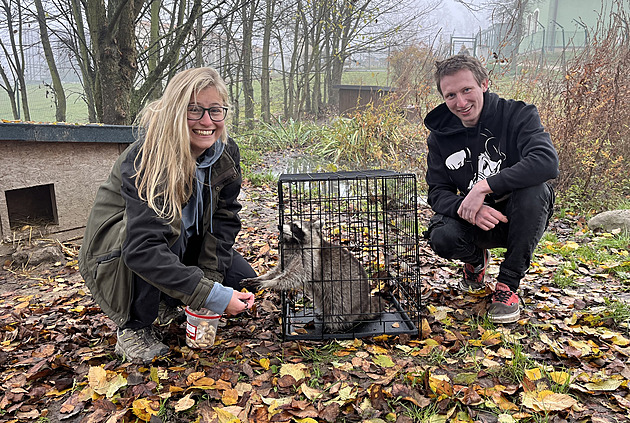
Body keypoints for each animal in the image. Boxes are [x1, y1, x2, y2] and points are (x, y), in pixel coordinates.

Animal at [241, 220, 380, 332]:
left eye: (295, 226)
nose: (279, 226)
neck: (294, 244)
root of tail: (364, 304)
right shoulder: (288, 256)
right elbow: (277, 271)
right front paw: (263, 278)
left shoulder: (309, 258)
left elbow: (294, 277)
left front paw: (270, 283)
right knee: (322, 300)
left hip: (347, 296)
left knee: (337, 307)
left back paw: (333, 326)